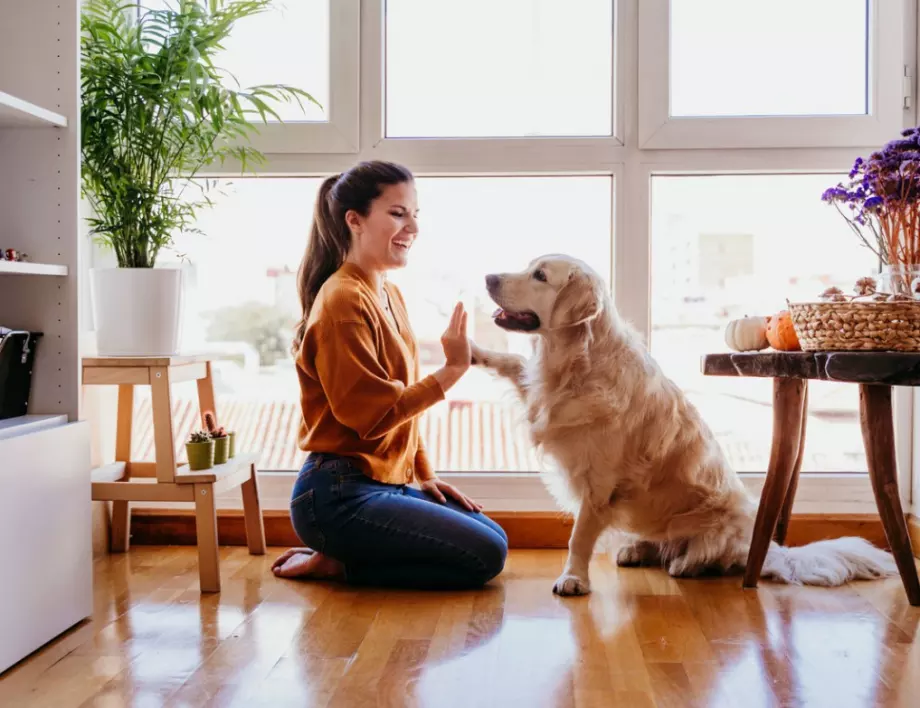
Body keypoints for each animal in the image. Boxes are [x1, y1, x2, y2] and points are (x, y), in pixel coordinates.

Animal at [474, 252, 900, 596]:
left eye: (540, 276)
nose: (488, 277)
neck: (575, 361)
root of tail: (769, 549)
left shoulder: (599, 484)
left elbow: (579, 537)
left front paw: (573, 578)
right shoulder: (541, 395)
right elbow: (512, 363)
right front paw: (473, 351)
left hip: (720, 524)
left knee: (713, 557)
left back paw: (686, 563)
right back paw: (636, 549)